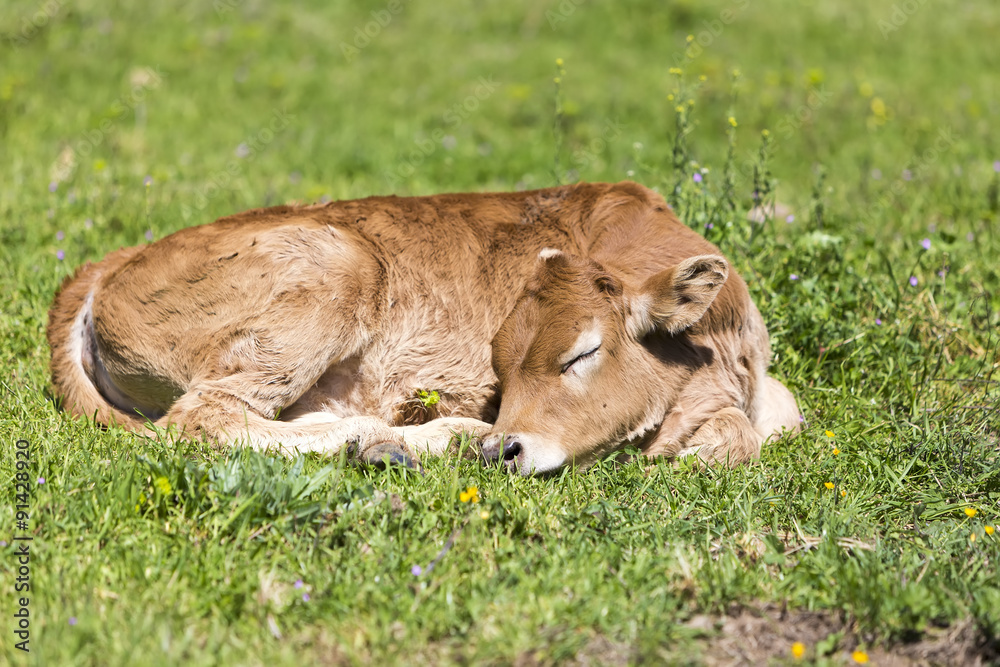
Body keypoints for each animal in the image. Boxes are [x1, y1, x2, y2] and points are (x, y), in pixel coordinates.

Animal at [47, 181, 799, 474]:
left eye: (582, 353)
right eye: (502, 366)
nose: (504, 449)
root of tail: (107, 264)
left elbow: (777, 421)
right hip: (337, 267)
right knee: (206, 416)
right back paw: (421, 439)